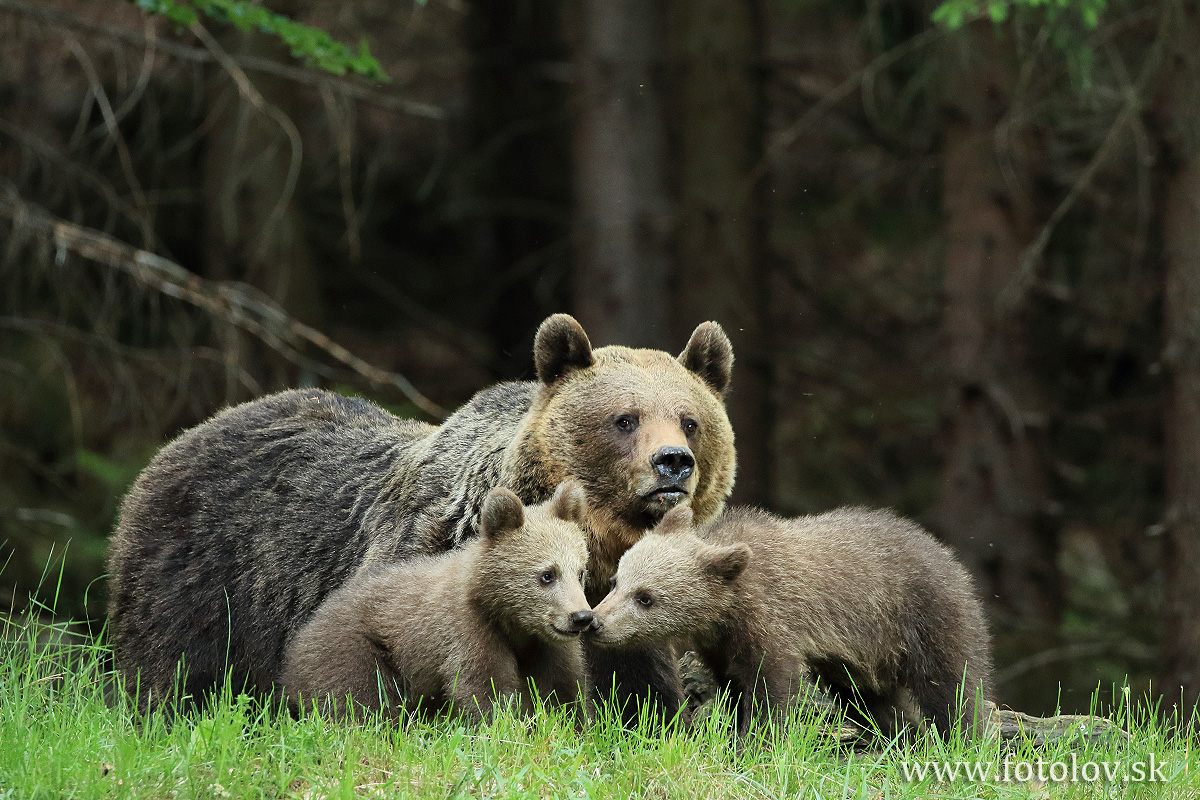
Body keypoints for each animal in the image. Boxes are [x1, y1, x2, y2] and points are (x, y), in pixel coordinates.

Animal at [282, 484, 600, 724]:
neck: (511, 621)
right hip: (350, 649)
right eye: (547, 574)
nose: (581, 617)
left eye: (580, 571)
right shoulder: (468, 631)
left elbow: (566, 690)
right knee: (358, 699)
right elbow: (485, 688)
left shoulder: (547, 645)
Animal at [590, 506, 993, 738]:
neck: (726, 609)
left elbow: (770, 688)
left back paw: (960, 739)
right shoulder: (721, 646)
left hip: (925, 616)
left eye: (645, 597)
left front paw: (757, 741)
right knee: (873, 701)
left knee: (951, 686)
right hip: (857, 662)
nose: (595, 622)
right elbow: (733, 688)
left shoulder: (773, 620)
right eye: (616, 581)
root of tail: (945, 553)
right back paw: (903, 738)